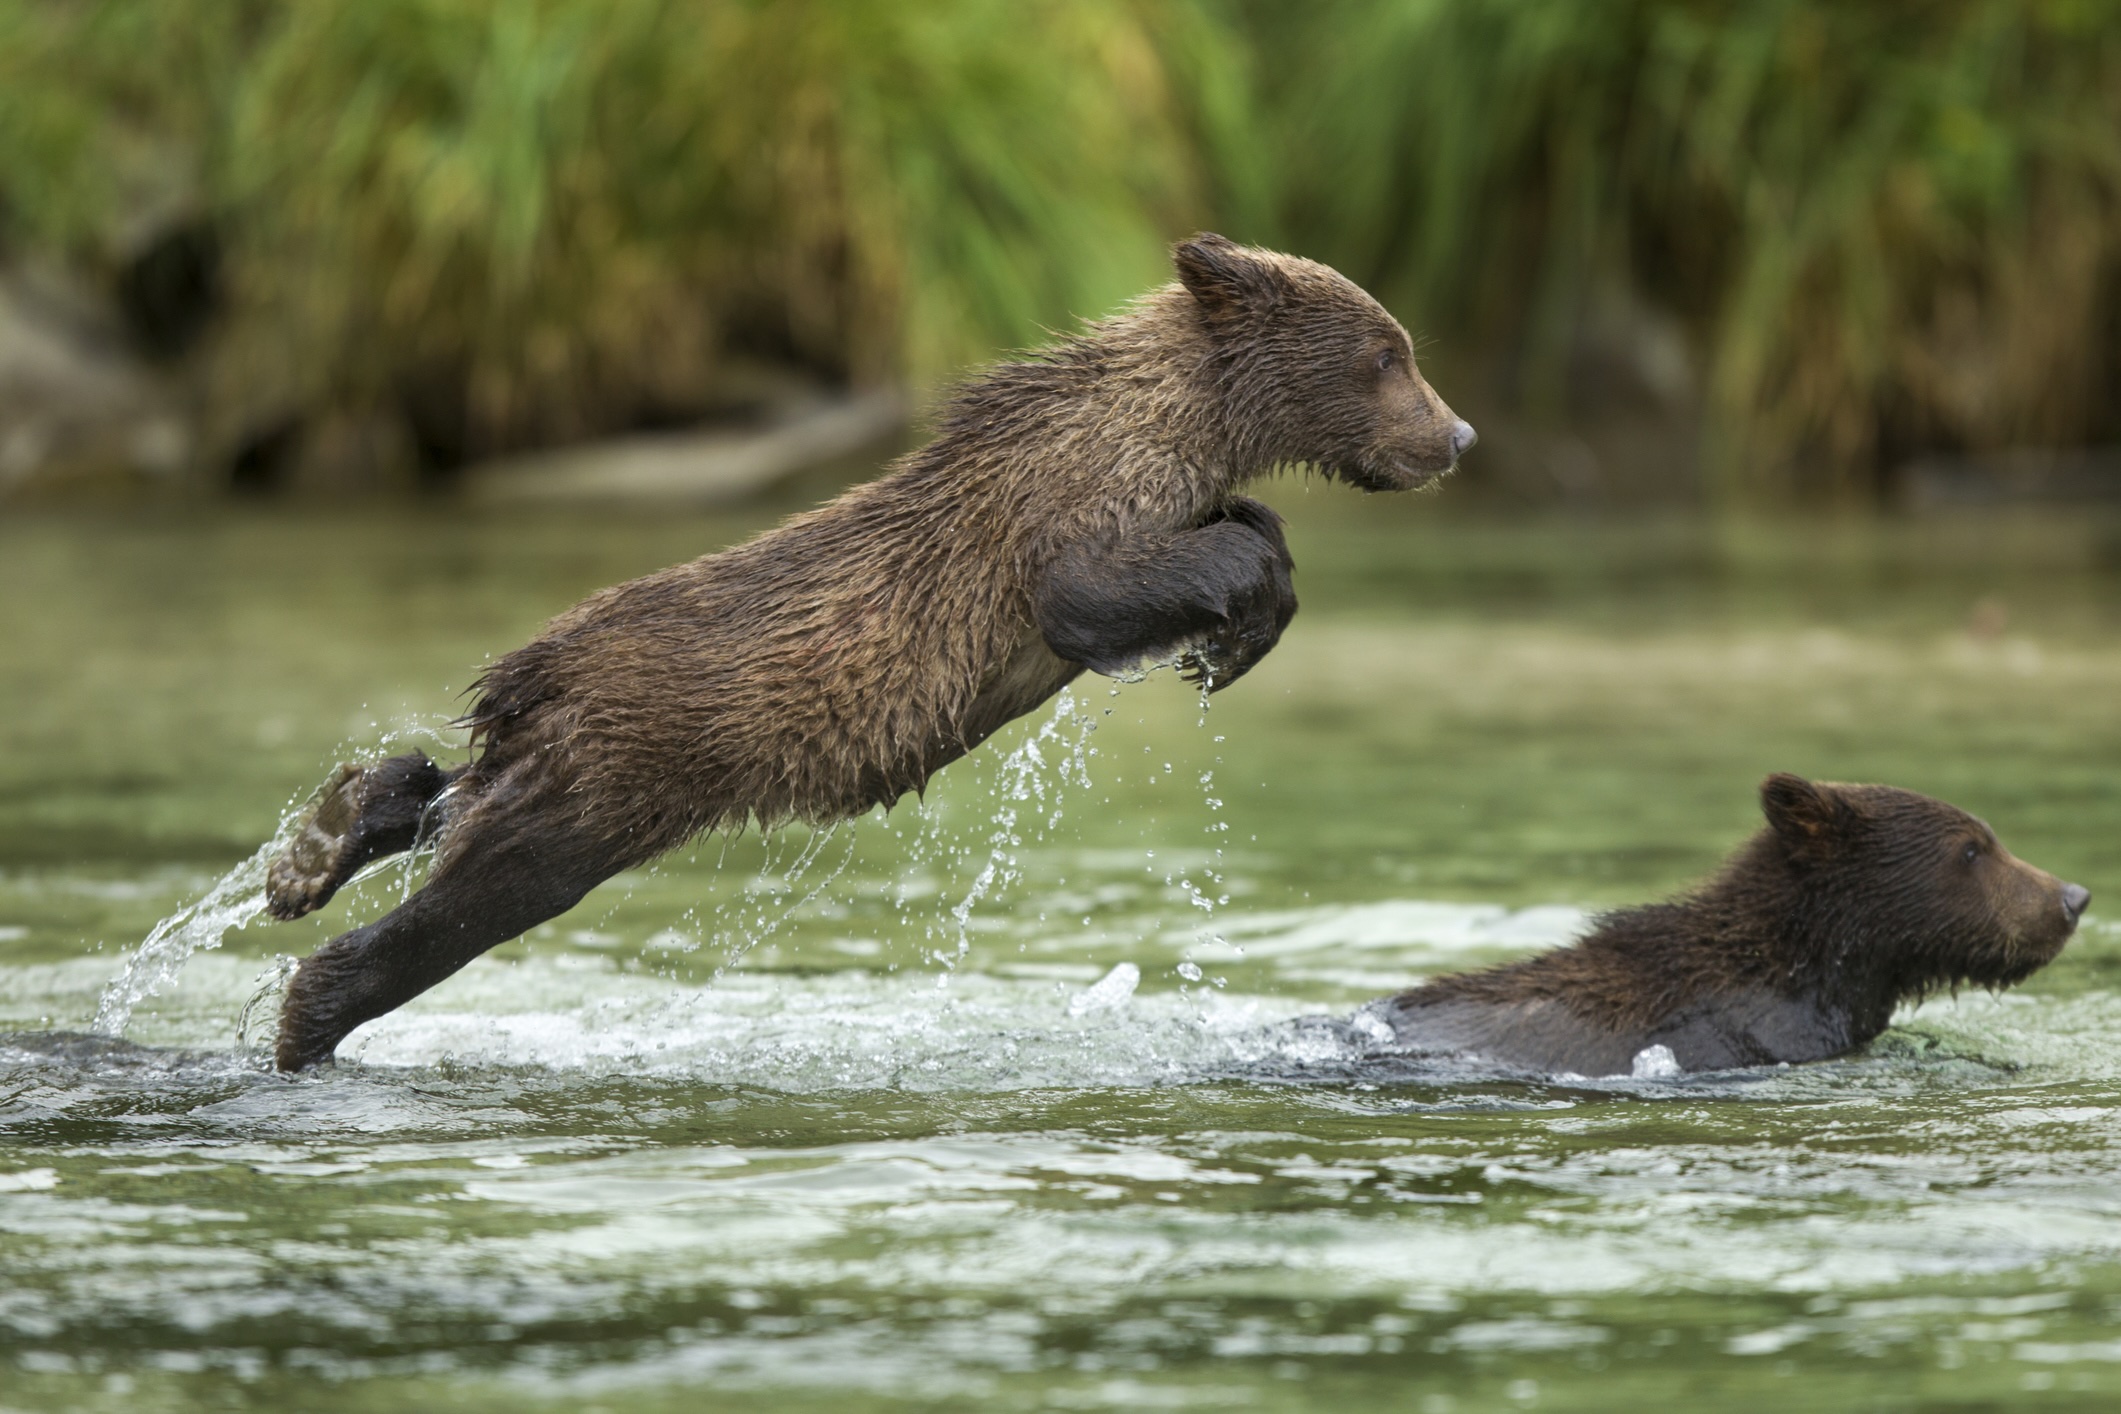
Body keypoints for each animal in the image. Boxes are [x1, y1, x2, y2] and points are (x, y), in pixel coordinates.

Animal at [264, 233, 1477, 1070]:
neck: (1184, 425)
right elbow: (1086, 593)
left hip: (577, 757)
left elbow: (1238, 527)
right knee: (486, 887)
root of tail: (529, 672)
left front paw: (1235, 634)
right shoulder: (1059, 505)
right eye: (1389, 353)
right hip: (617, 761)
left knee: (450, 800)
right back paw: (311, 1012)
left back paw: (317, 845)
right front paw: (1237, 607)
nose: (1459, 434)